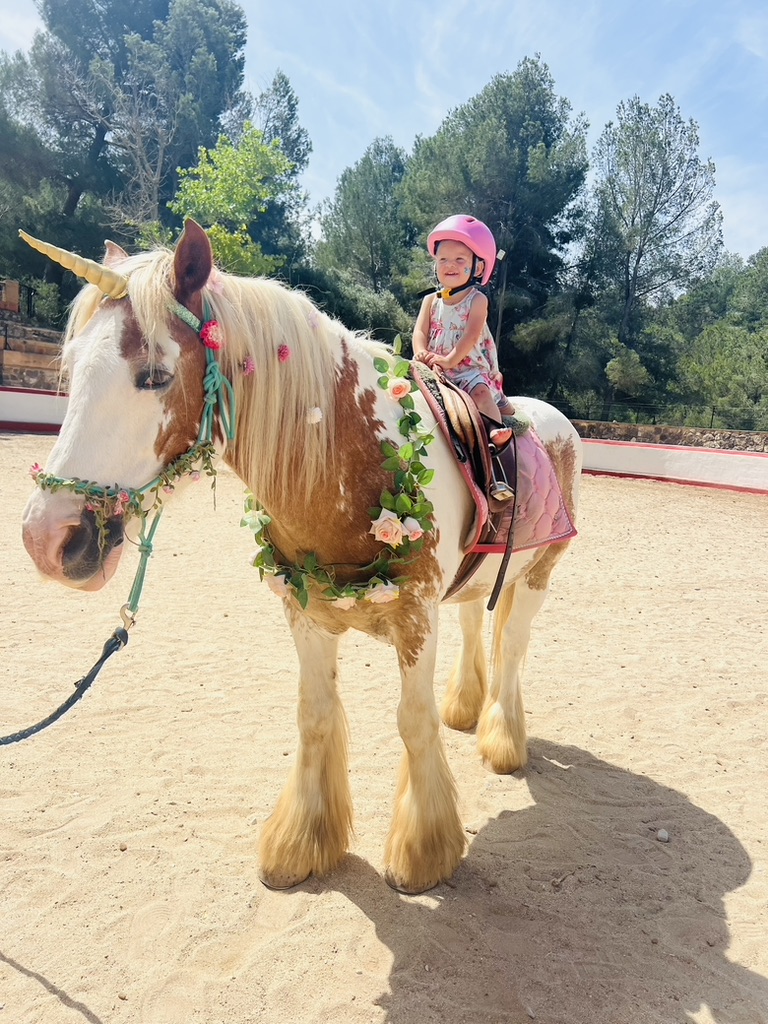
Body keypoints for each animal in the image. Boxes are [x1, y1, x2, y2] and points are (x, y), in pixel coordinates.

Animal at [20, 220, 582, 894]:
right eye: (72, 366)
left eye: (154, 374)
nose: (47, 538)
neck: (352, 452)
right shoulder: (305, 609)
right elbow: (315, 716)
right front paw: (303, 842)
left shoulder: (416, 616)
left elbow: (411, 721)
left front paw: (424, 853)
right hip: (475, 580)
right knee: (477, 621)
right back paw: (467, 708)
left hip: (539, 576)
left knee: (513, 650)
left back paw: (501, 738)